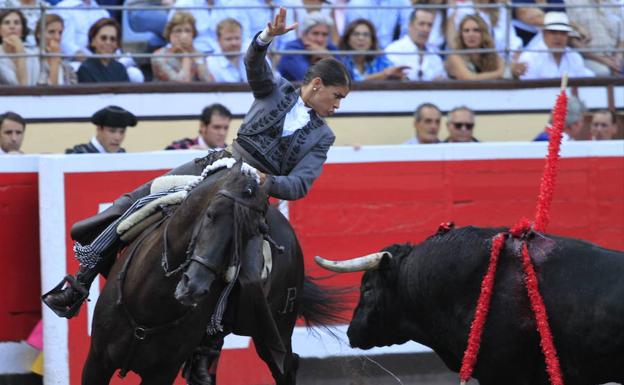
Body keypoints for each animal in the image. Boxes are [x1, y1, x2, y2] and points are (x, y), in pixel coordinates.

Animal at [83, 157, 342, 384]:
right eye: (210, 214)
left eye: (251, 232)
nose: (194, 288)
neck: (151, 304)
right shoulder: (97, 360)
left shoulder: (162, 372)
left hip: (279, 329)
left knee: (287, 366)